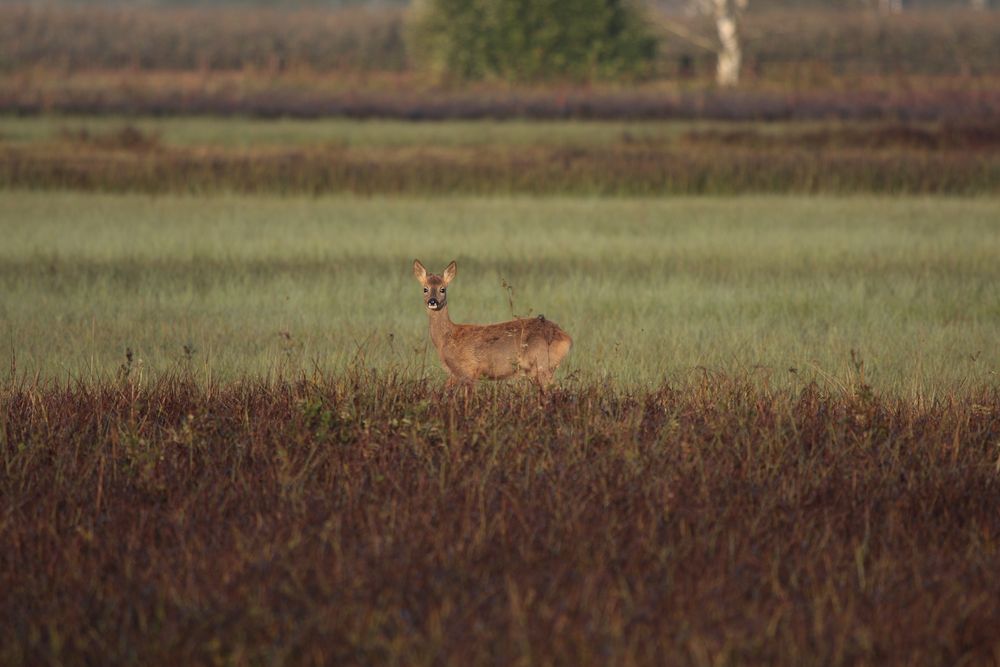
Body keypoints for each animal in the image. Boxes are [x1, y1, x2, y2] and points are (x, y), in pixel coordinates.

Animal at [412, 258, 572, 388]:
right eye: (425, 289)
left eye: (442, 289)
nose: (432, 301)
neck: (445, 339)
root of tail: (567, 338)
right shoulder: (455, 375)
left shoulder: (468, 371)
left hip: (543, 365)